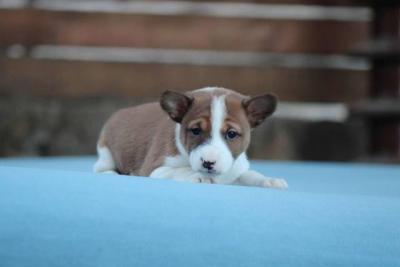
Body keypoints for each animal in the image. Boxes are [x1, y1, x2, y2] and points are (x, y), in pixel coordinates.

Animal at [94, 88, 288, 191]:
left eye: (232, 134)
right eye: (195, 130)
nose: (208, 163)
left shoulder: (236, 170)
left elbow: (251, 175)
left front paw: (269, 180)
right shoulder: (155, 169)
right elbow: (181, 170)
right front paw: (198, 175)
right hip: (106, 154)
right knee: (100, 168)